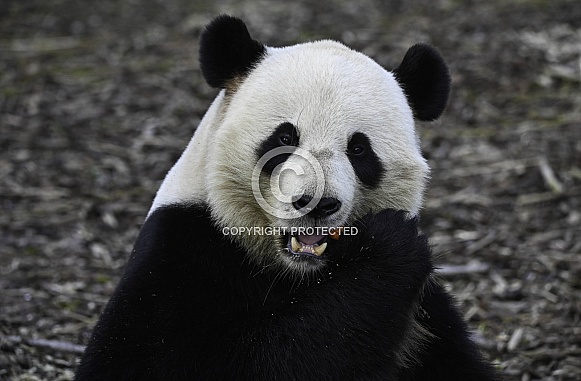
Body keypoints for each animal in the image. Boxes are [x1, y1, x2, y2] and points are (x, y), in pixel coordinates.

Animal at [73, 14, 498, 380]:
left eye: (359, 149)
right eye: (284, 137)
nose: (317, 203)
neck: (297, 273)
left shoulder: (426, 313)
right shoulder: (180, 255)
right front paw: (388, 246)